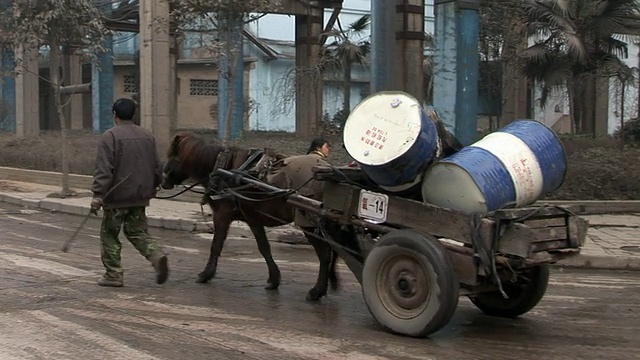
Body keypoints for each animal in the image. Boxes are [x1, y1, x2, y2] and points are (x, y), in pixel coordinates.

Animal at [162, 132, 348, 300]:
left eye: (172, 155)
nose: (163, 181)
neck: (223, 168)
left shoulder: (222, 215)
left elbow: (216, 245)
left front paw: (206, 274)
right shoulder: (253, 219)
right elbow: (264, 247)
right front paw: (273, 279)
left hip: (309, 222)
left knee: (324, 255)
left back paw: (317, 291)